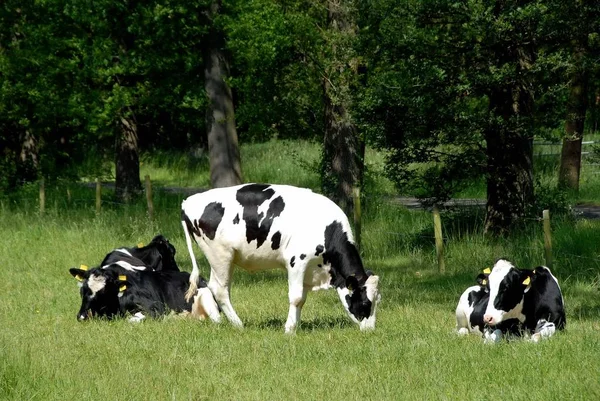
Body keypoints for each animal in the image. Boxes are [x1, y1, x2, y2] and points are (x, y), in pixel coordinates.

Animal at [180, 183, 382, 332]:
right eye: (365, 302)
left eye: (377, 300)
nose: (370, 330)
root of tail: (189, 201)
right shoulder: (297, 261)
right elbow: (296, 297)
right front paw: (289, 329)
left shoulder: (309, 270)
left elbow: (302, 299)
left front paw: (296, 325)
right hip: (220, 255)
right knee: (219, 289)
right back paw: (238, 325)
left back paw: (219, 322)